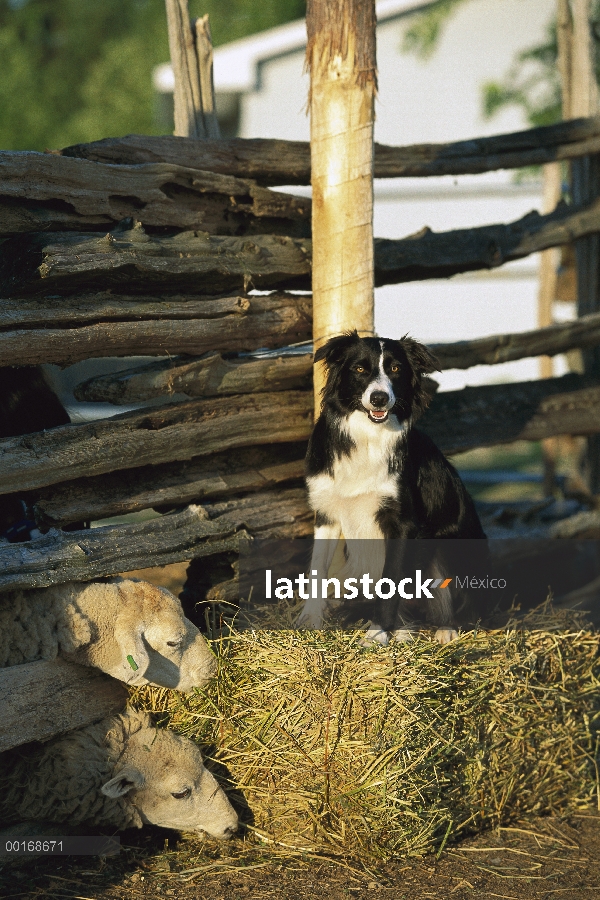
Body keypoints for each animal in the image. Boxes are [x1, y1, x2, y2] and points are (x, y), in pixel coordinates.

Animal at [298, 334, 486, 644]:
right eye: (360, 369)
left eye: (396, 369)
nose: (379, 398)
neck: (368, 436)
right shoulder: (327, 513)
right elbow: (317, 568)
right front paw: (311, 620)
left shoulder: (402, 522)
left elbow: (390, 582)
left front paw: (377, 635)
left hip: (448, 541)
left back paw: (444, 628)